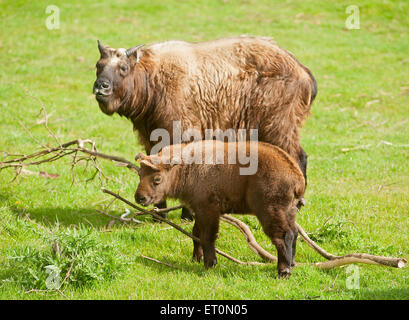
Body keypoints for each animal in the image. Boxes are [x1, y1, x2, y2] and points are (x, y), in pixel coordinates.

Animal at [135, 141, 304, 278]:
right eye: (140, 174)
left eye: (157, 178)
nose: (139, 198)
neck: (188, 167)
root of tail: (296, 176)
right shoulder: (199, 210)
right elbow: (196, 233)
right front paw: (197, 258)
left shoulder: (209, 211)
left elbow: (207, 237)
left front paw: (210, 264)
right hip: (288, 211)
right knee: (294, 232)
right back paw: (292, 263)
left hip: (270, 212)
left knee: (283, 236)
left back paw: (283, 271)